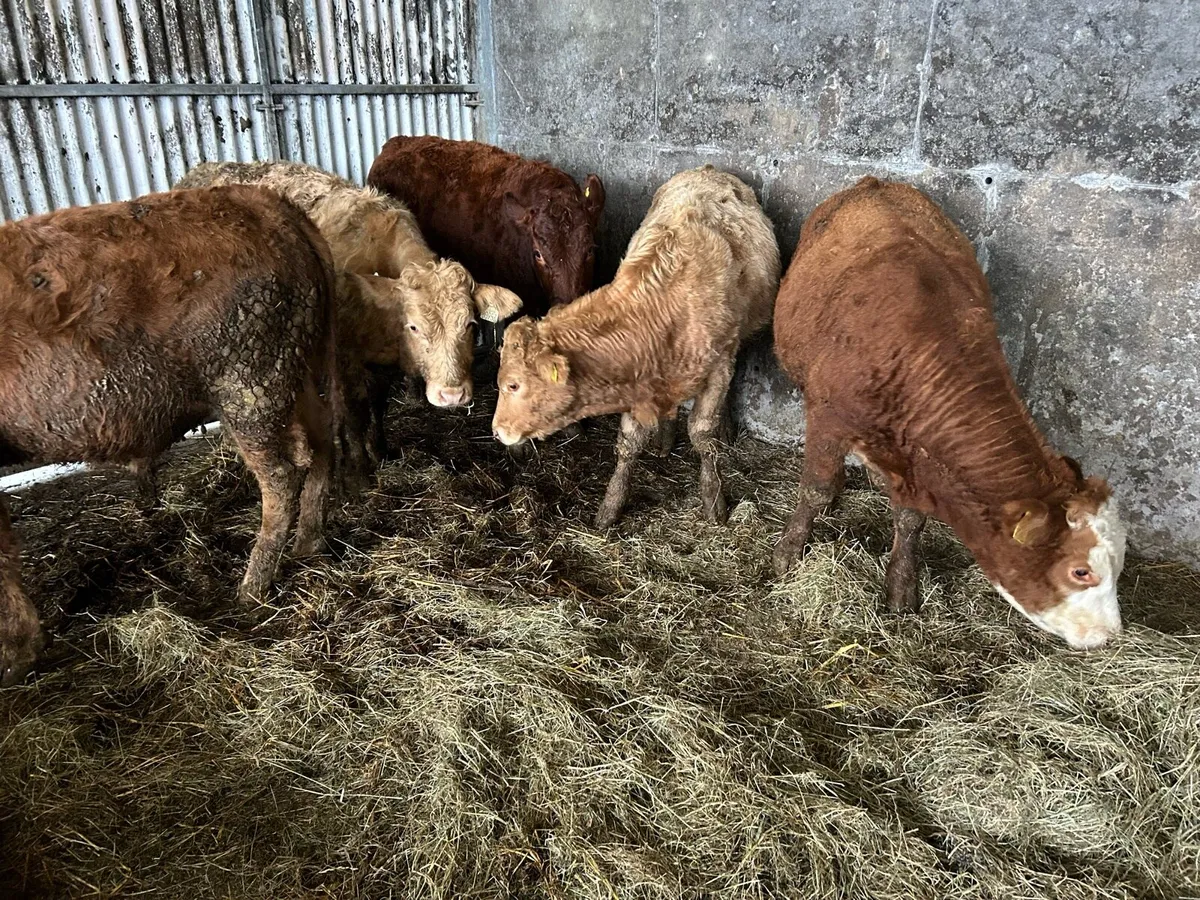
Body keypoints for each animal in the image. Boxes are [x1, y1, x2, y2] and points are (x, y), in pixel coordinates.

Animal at [0, 185, 344, 685]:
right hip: (293, 374)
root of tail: (268, 204)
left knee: (281, 476)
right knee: (319, 449)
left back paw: (250, 588)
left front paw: (17, 656)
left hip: (247, 380)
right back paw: (308, 545)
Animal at [176, 161, 522, 457]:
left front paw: (382, 450)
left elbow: (378, 403)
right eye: (413, 326)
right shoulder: (346, 359)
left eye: (470, 325)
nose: (452, 395)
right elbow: (358, 409)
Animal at [491, 165, 781, 529]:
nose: (497, 431)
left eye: (514, 385)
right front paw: (610, 507)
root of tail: (708, 170)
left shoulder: (717, 368)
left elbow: (703, 435)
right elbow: (628, 443)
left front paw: (714, 499)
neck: (664, 305)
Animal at [771, 176, 1126, 650]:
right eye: (1080, 571)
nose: (1109, 636)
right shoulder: (828, 415)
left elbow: (910, 518)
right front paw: (789, 552)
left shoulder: (915, 457)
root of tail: (876, 181)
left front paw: (902, 586)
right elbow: (815, 488)